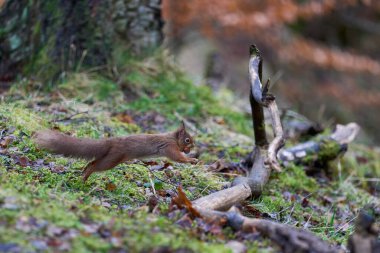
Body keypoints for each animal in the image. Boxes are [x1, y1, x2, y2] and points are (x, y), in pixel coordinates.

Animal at [34, 121, 197, 181]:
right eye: (187, 140)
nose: (193, 147)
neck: (173, 138)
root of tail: (112, 141)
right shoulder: (169, 147)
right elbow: (177, 158)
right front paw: (192, 160)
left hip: (111, 157)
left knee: (92, 162)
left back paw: (83, 175)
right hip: (113, 159)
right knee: (95, 165)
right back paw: (85, 177)